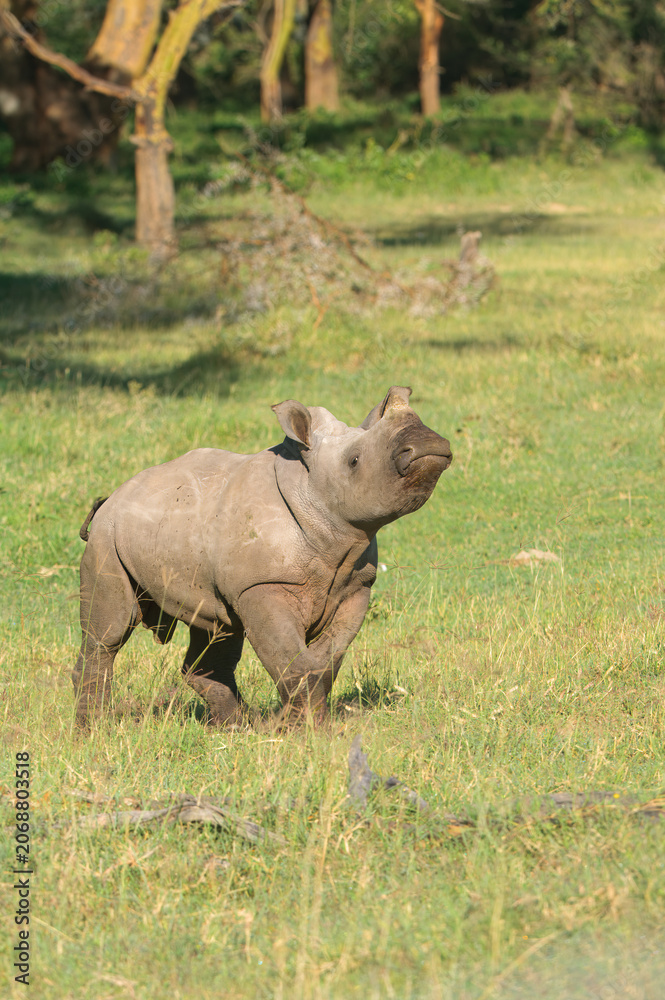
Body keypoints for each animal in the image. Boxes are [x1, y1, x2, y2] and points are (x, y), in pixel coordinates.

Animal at [73, 386, 452, 726]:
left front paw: (305, 723)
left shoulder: (356, 584)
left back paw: (234, 726)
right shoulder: (262, 585)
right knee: (109, 633)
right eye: (354, 461)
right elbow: (289, 659)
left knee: (217, 627)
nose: (430, 445)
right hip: (107, 537)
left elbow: (326, 659)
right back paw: (93, 729)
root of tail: (113, 496)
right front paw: (305, 731)